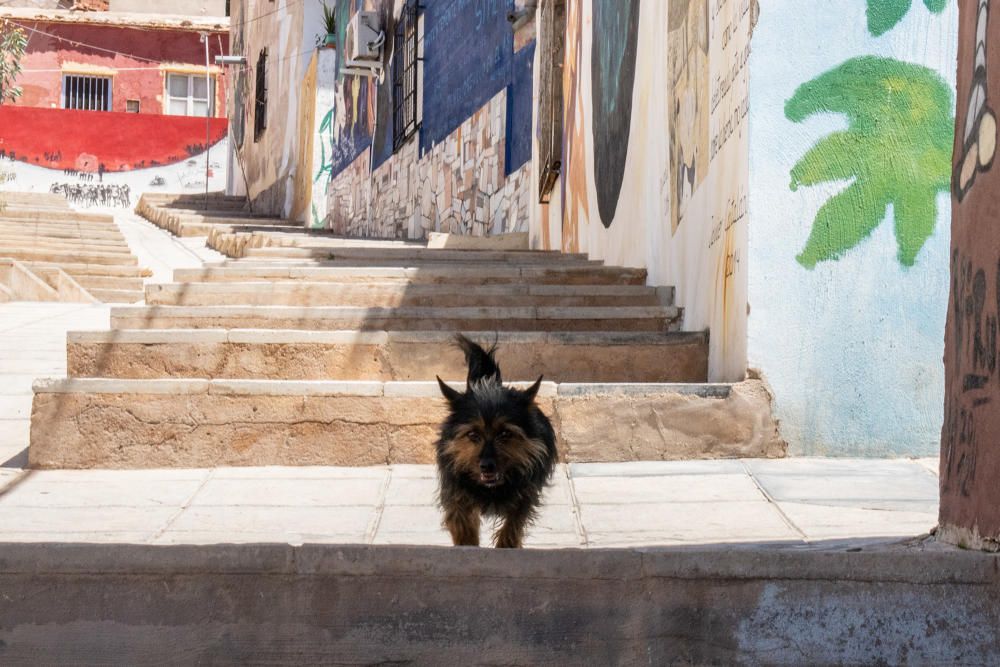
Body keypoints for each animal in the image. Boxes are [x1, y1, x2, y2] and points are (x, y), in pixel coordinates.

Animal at [436, 334, 560, 548]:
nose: (486, 466)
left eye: (505, 434)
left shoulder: (526, 493)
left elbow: (513, 525)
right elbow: (462, 524)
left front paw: (506, 544)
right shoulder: (455, 493)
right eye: (472, 435)